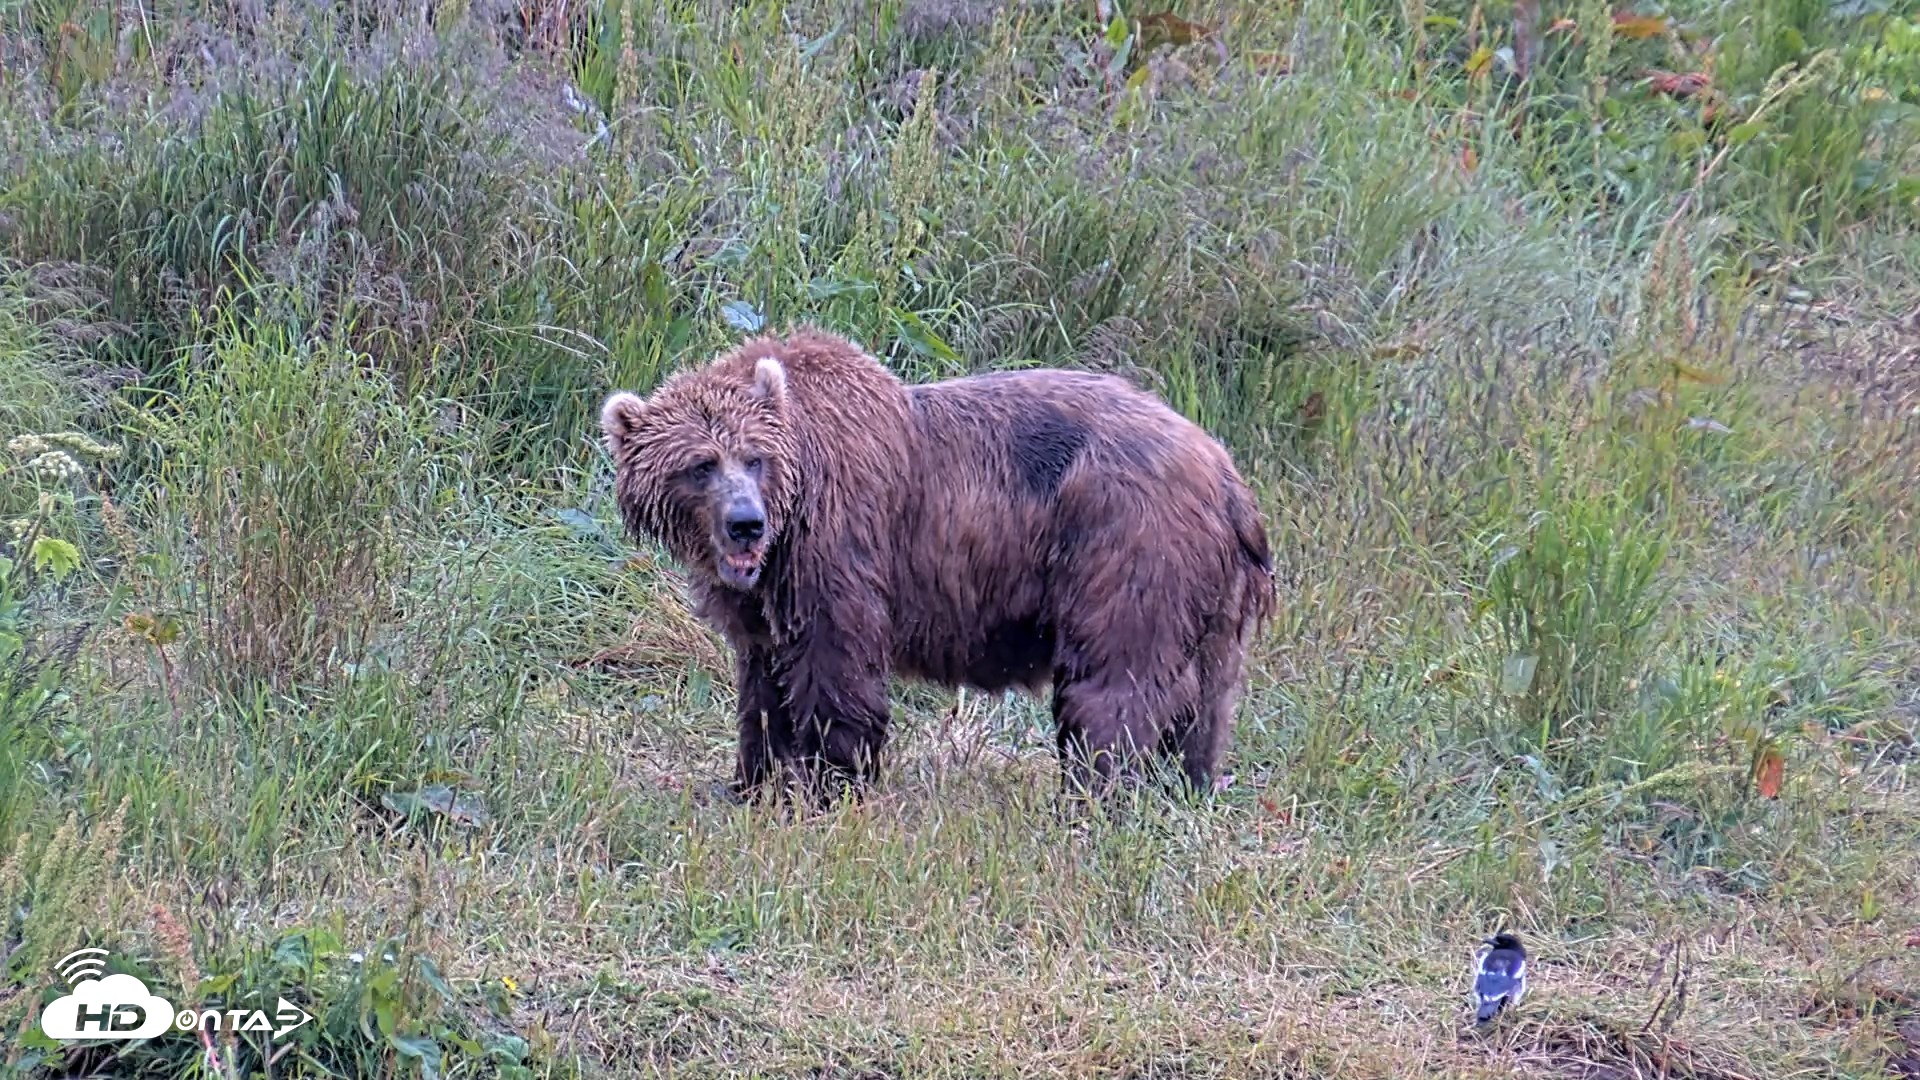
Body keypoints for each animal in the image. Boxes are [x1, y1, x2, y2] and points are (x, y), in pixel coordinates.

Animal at [599, 325, 1276, 807]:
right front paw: (749, 785)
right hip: (1209, 593)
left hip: (1125, 543)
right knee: (1206, 694)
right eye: (700, 465)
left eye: (754, 457)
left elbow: (834, 662)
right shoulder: (762, 597)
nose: (746, 523)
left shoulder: (837, 545)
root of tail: (1225, 470)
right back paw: (1184, 784)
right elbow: (761, 683)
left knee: (1116, 678)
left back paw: (1092, 797)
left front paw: (829, 785)